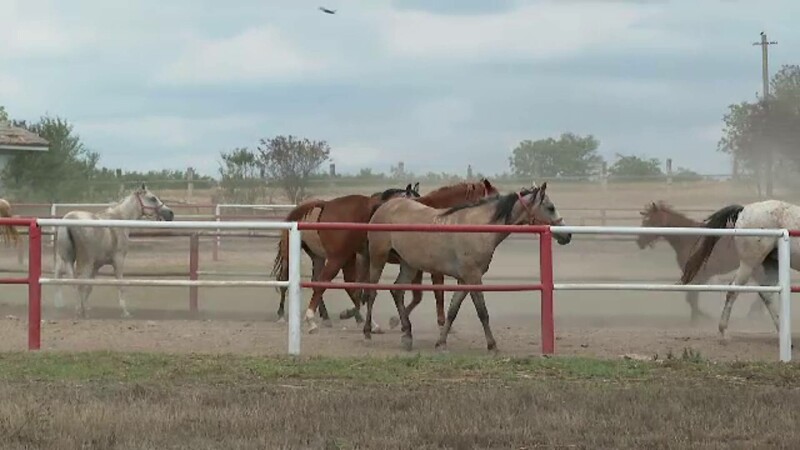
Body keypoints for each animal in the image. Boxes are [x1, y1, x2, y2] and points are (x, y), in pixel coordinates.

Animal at [53, 185, 175, 318]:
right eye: (152, 198)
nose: (170, 213)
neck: (119, 218)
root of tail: (69, 220)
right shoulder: (118, 260)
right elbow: (120, 284)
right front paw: (125, 311)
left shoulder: (97, 265)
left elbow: (90, 286)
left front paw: (84, 305)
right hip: (85, 262)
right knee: (80, 282)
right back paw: (82, 312)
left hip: (67, 261)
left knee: (72, 282)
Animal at [270, 181, 422, 332]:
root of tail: (326, 204)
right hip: (337, 257)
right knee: (318, 281)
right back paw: (307, 318)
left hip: (326, 257)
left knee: (325, 282)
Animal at [362, 183, 568, 352]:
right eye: (550, 207)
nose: (567, 235)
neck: (478, 227)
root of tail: (385, 206)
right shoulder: (473, 277)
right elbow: (482, 312)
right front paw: (492, 345)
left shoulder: (464, 279)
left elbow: (453, 310)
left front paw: (441, 343)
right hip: (378, 258)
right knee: (372, 292)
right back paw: (368, 331)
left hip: (408, 264)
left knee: (397, 291)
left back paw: (407, 335)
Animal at [636, 202, 764, 322]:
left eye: (650, 221)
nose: (639, 242)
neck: (689, 239)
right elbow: (691, 298)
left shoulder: (699, 276)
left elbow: (692, 298)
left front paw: (698, 319)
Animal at [680, 200, 800, 338]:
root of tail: (744, 210)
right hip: (749, 263)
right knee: (733, 289)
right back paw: (723, 330)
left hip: (772, 264)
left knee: (766, 293)